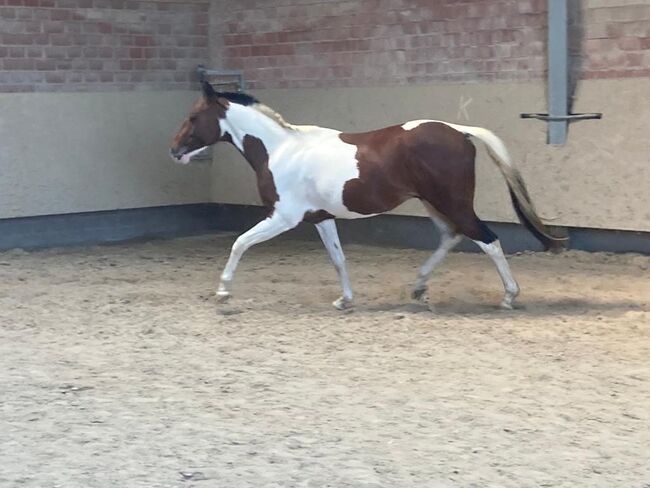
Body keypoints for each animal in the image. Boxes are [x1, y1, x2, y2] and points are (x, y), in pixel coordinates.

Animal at [171, 80, 560, 308]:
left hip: (453, 203)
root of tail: (459, 131)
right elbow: (338, 258)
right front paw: (345, 300)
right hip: (434, 203)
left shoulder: (283, 217)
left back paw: (509, 296)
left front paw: (223, 291)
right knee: (451, 237)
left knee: (489, 240)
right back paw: (418, 288)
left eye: (193, 116)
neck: (281, 149)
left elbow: (239, 243)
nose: (174, 151)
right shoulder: (321, 218)